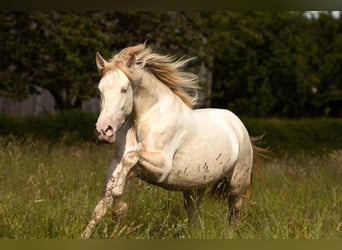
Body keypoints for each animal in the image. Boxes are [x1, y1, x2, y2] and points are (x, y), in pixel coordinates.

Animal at [81, 44, 255, 238]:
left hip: (237, 183)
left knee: (234, 211)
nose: (104, 130)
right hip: (194, 188)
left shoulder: (161, 168)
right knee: (195, 216)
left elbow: (130, 160)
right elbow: (102, 204)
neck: (146, 118)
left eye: (124, 89)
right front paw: (86, 235)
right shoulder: (116, 164)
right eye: (100, 90)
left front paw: (120, 208)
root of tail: (238, 125)